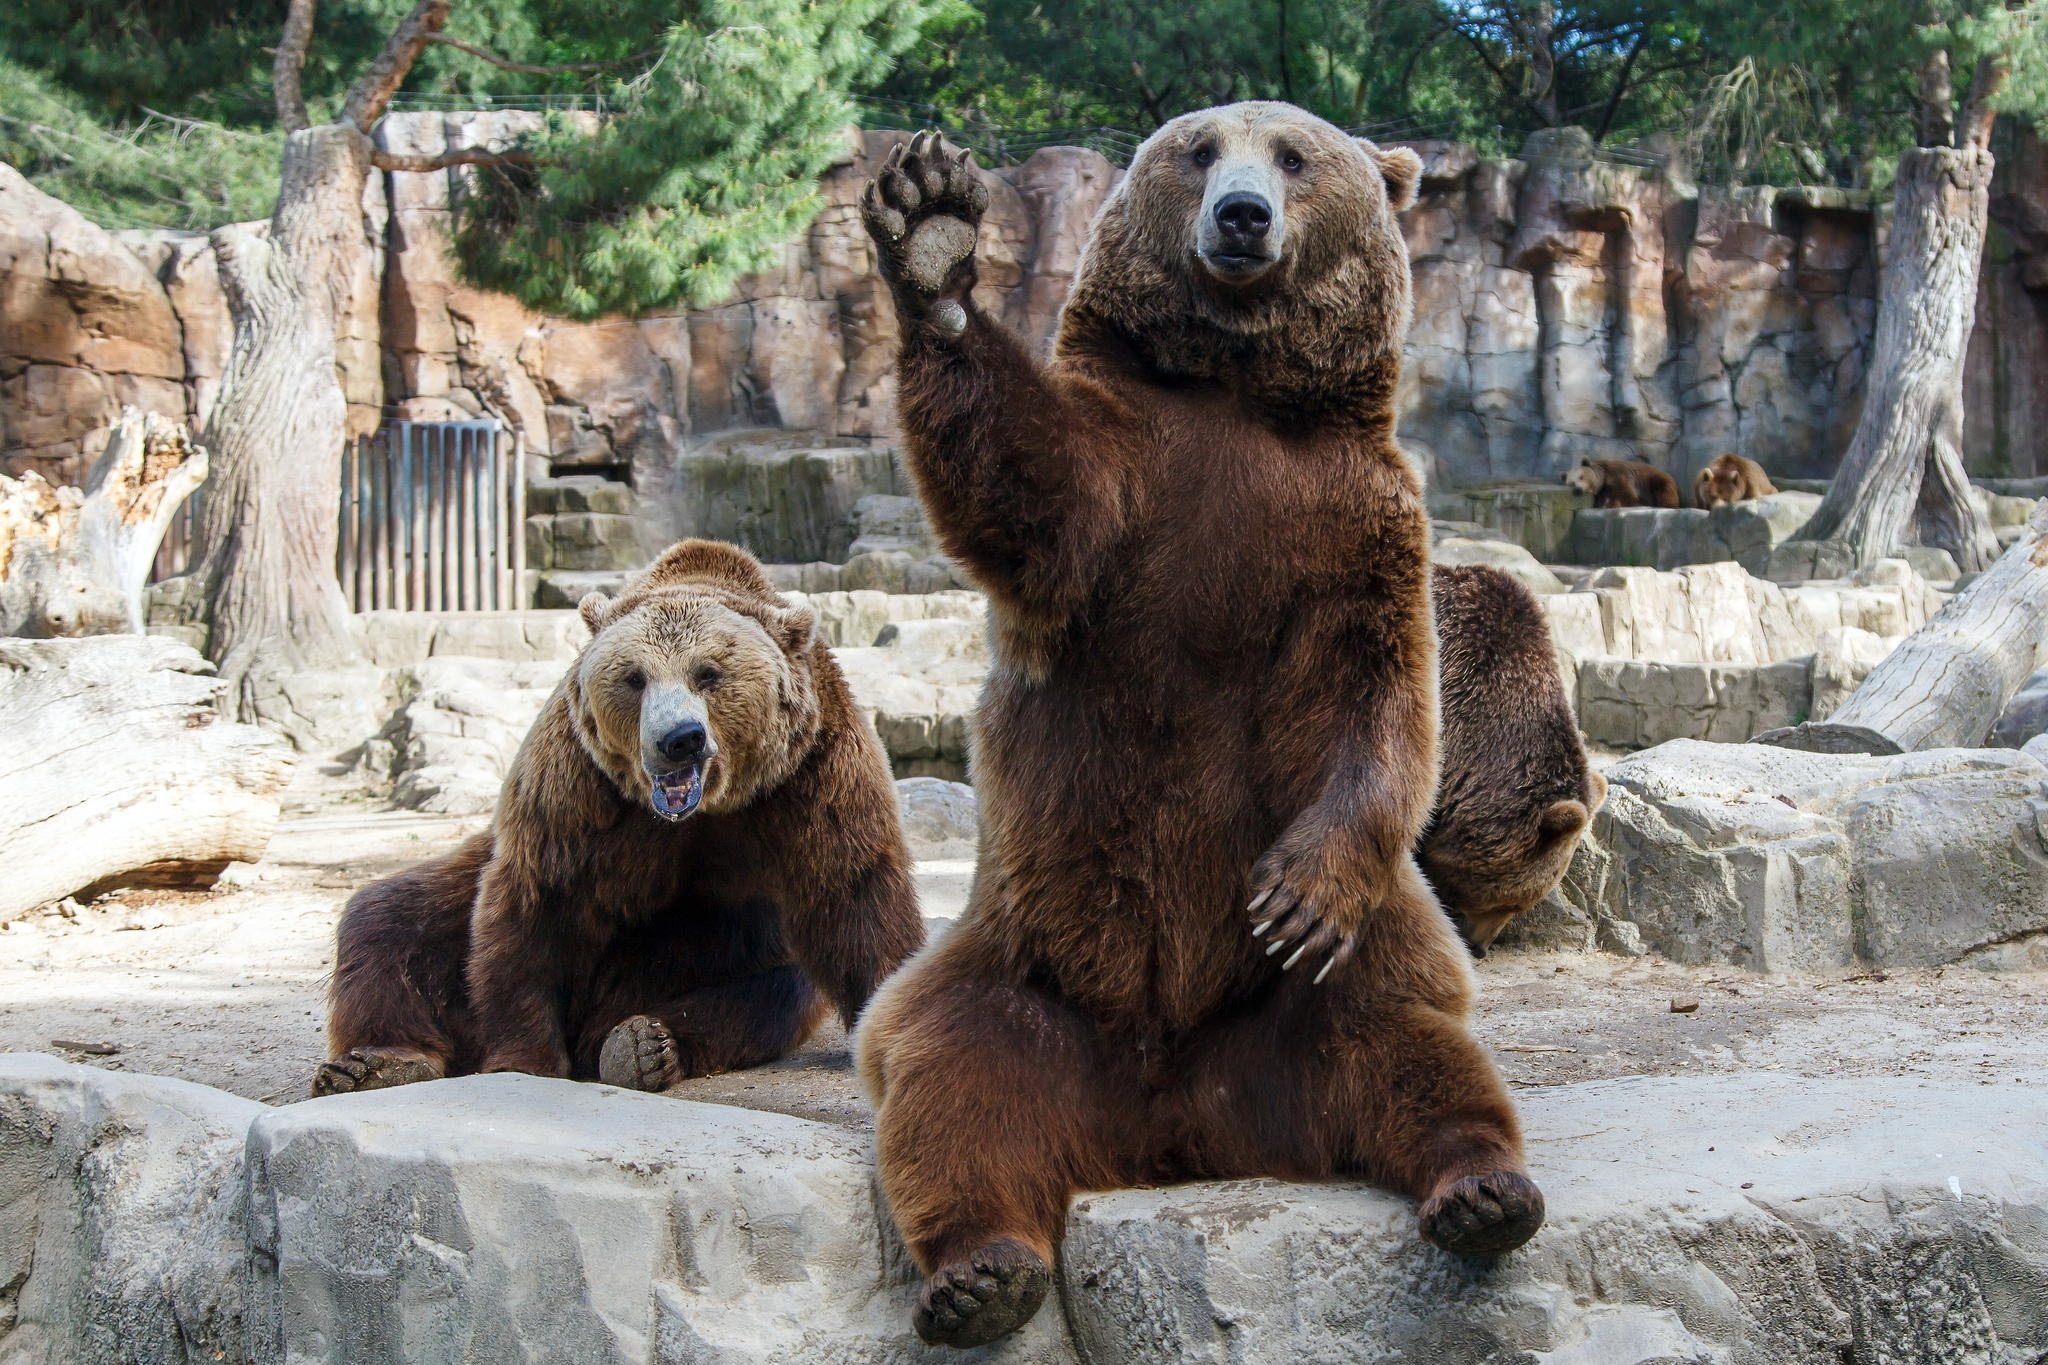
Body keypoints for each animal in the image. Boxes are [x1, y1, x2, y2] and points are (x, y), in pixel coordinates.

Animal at [313, 539, 924, 1098]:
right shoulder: (578, 785)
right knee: (390, 921)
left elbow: (855, 895)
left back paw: (643, 1045)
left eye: (708, 673)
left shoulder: (812, 773)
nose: (679, 738)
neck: (703, 810)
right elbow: (536, 902)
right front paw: (524, 1059)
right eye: (634, 677)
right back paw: (375, 1062)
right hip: (455, 894)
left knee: (770, 992)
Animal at [854, 109, 1541, 1349]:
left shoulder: (1357, 521)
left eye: (1294, 158)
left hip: (1307, 998)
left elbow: (1382, 700)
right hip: (1023, 970)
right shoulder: (1132, 480)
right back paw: (982, 1275)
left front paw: (1297, 895)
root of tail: (1169, 1130)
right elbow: (1027, 489)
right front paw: (930, 234)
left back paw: (1481, 1190)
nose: (1241, 216)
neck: (1237, 397)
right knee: (951, 1082)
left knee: (1406, 1045)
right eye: (1200, 149)